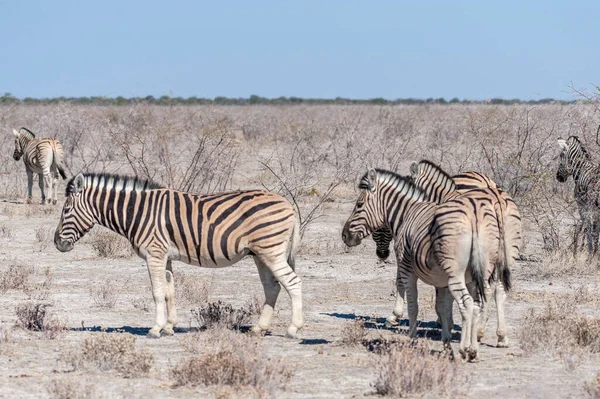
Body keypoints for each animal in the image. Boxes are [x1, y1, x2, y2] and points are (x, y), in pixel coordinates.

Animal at [53, 173, 302, 340]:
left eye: (65, 210)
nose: (57, 243)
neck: (136, 212)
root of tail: (287, 203)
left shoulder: (154, 254)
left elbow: (156, 292)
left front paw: (155, 329)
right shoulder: (166, 257)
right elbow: (169, 291)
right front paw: (169, 326)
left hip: (271, 250)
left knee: (293, 282)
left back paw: (293, 329)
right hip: (260, 253)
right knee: (272, 287)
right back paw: (259, 328)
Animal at [342, 169, 506, 362]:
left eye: (359, 204)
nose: (344, 235)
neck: (407, 213)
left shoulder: (407, 268)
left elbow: (412, 305)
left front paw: (410, 339)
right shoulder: (441, 281)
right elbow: (442, 308)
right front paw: (446, 343)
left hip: (456, 274)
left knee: (466, 303)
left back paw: (464, 349)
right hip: (479, 273)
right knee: (478, 304)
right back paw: (475, 349)